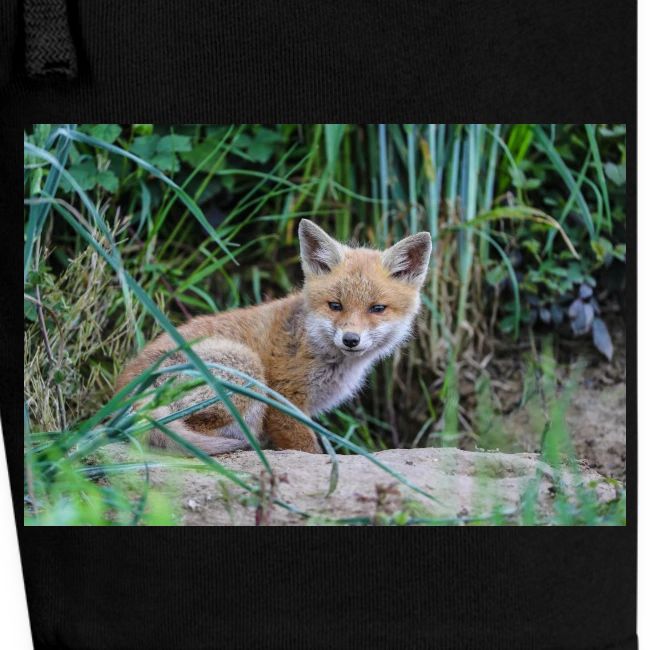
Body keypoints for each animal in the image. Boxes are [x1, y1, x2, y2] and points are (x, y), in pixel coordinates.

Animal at [116, 219, 432, 455]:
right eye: (335, 305)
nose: (351, 339)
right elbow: (308, 449)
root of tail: (124, 394)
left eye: (377, 309)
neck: (313, 344)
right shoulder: (284, 401)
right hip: (246, 369)